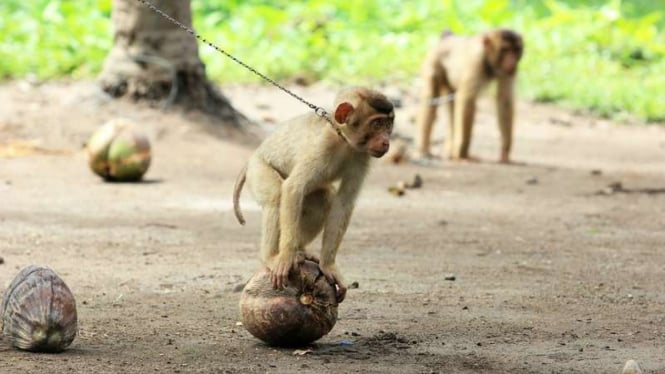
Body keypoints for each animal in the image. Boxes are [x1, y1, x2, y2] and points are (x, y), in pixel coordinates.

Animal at [232, 86, 394, 302]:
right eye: (377, 124)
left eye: (388, 125)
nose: (386, 142)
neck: (341, 138)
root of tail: (252, 158)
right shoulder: (322, 146)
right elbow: (293, 188)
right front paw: (285, 256)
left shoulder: (361, 156)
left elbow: (343, 202)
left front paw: (329, 266)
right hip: (258, 170)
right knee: (276, 196)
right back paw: (271, 256)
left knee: (323, 200)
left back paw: (302, 251)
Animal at [416, 28, 524, 163]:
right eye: (505, 50)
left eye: (516, 50)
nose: (512, 61)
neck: (489, 60)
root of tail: (446, 38)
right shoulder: (476, 60)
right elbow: (467, 100)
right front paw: (463, 155)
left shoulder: (509, 71)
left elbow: (504, 100)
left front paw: (505, 152)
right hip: (433, 63)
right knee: (431, 100)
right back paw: (424, 151)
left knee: (451, 109)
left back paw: (450, 152)